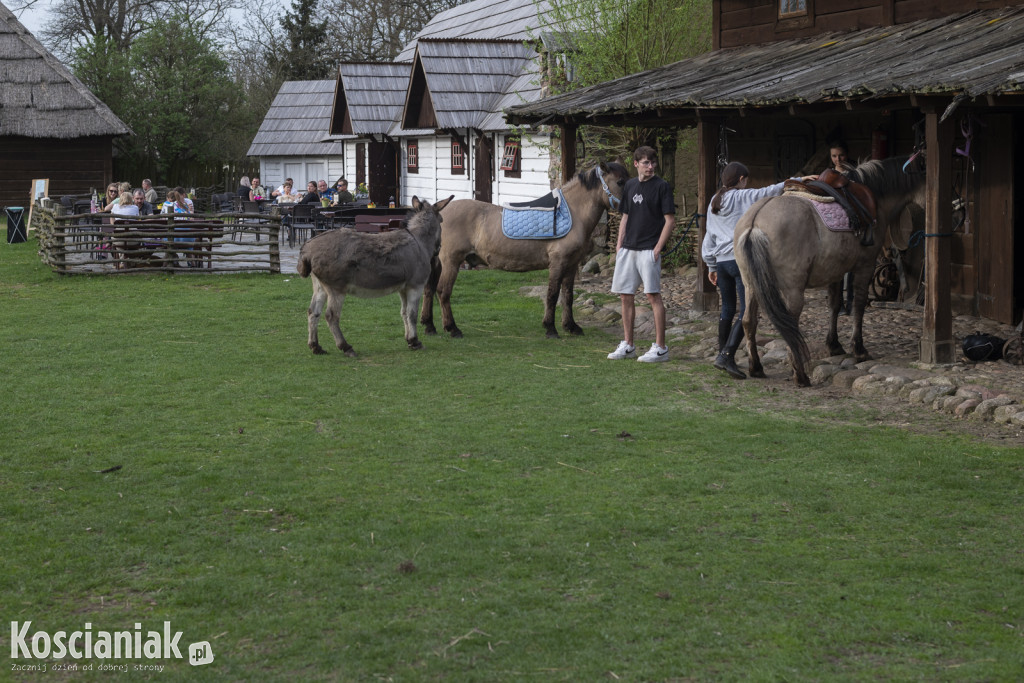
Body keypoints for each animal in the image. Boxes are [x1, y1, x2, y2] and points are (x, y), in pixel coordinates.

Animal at [299, 194, 454, 358]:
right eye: (442, 221)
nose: (438, 250)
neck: (419, 241)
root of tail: (308, 248)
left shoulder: (403, 289)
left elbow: (404, 313)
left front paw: (409, 340)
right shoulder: (415, 287)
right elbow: (412, 314)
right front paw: (415, 341)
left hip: (320, 287)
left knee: (313, 312)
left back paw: (315, 346)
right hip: (336, 289)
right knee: (331, 316)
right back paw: (345, 347)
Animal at [417, 162, 626, 339]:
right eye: (620, 181)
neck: (573, 213)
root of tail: (440, 213)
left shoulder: (572, 264)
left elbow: (568, 295)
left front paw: (571, 326)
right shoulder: (558, 263)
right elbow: (552, 295)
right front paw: (550, 328)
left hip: (438, 262)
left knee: (429, 289)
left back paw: (429, 326)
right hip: (451, 262)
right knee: (443, 292)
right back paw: (452, 328)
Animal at [737, 156, 929, 387]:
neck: (874, 196)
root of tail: (755, 223)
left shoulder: (835, 270)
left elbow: (835, 305)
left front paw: (834, 344)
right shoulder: (865, 266)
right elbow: (858, 305)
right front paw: (859, 349)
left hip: (751, 285)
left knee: (749, 321)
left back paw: (756, 367)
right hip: (793, 290)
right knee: (790, 327)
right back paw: (800, 376)